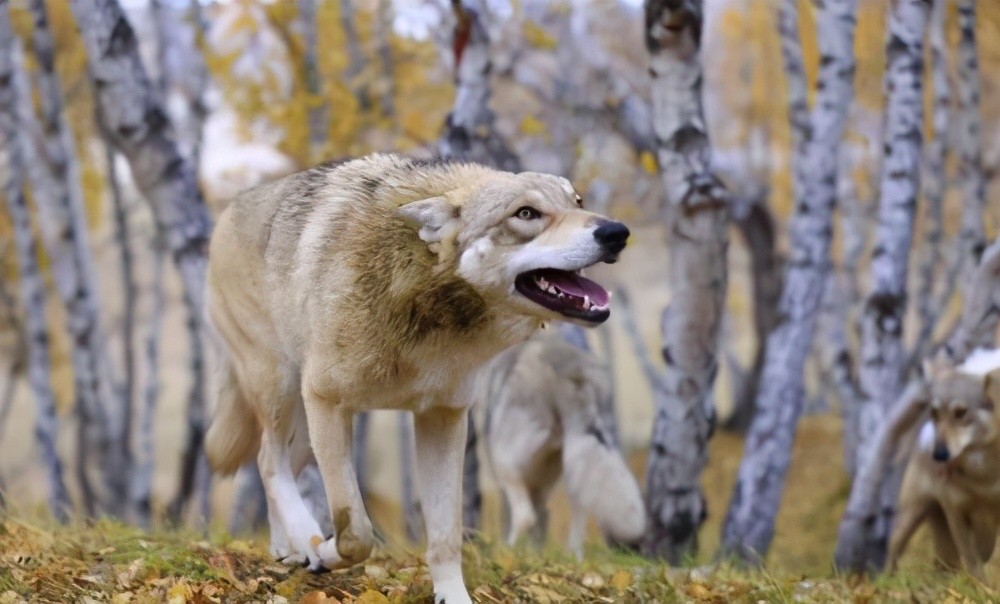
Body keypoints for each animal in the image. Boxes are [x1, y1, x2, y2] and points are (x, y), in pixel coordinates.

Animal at [200, 153, 628, 600]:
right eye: (526, 213)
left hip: (304, 428)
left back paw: (289, 548)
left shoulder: (443, 418)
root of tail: (229, 209)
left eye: (578, 201)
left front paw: (452, 597)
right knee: (269, 462)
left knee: (269, 463)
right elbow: (356, 532)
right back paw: (306, 541)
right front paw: (326, 551)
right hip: (283, 391)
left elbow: (445, 536)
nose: (617, 232)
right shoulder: (330, 402)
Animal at [478, 332, 648, 560]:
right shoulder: (538, 488)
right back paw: (574, 557)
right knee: (577, 517)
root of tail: (571, 370)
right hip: (574, 465)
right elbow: (541, 525)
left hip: (505, 462)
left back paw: (504, 554)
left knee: (525, 517)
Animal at [888, 346, 1000, 580]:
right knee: (892, 556)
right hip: (910, 515)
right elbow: (973, 561)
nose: (938, 454)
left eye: (961, 412)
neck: (982, 479)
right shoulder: (956, 513)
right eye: (934, 413)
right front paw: (981, 586)